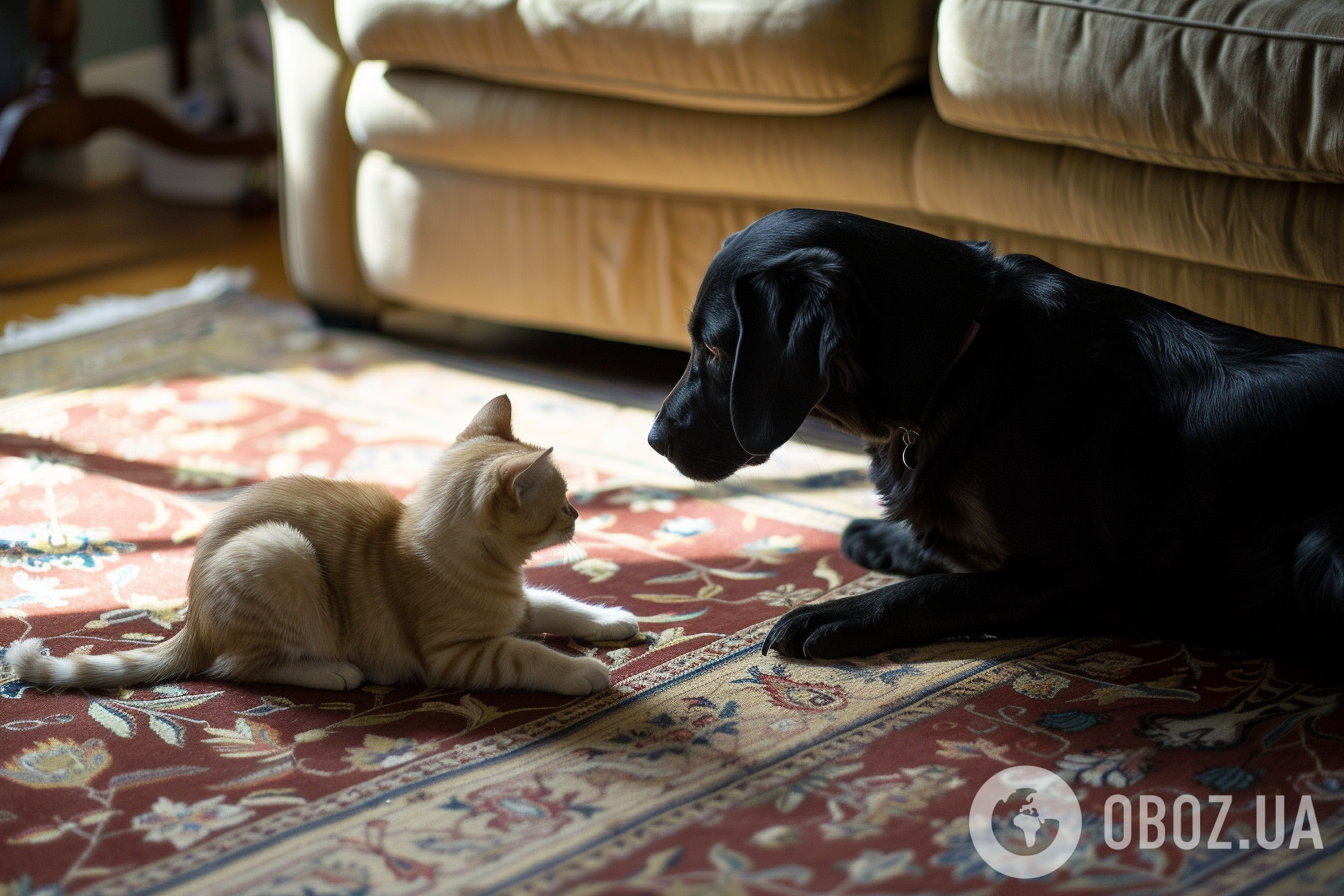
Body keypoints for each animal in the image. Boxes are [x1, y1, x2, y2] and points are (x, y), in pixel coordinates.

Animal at [5, 394, 637, 698]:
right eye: (562, 501)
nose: (579, 513)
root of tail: (193, 622)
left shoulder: (521, 606)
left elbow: (561, 604)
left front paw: (611, 618)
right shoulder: (460, 654)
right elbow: (531, 655)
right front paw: (582, 671)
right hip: (282, 555)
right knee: (238, 668)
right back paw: (332, 672)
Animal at [645, 208, 1338, 666]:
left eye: (714, 349)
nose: (653, 439)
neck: (961, 363)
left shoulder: (1083, 577)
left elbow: (938, 589)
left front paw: (836, 613)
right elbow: (943, 547)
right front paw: (883, 538)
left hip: (1318, 552)